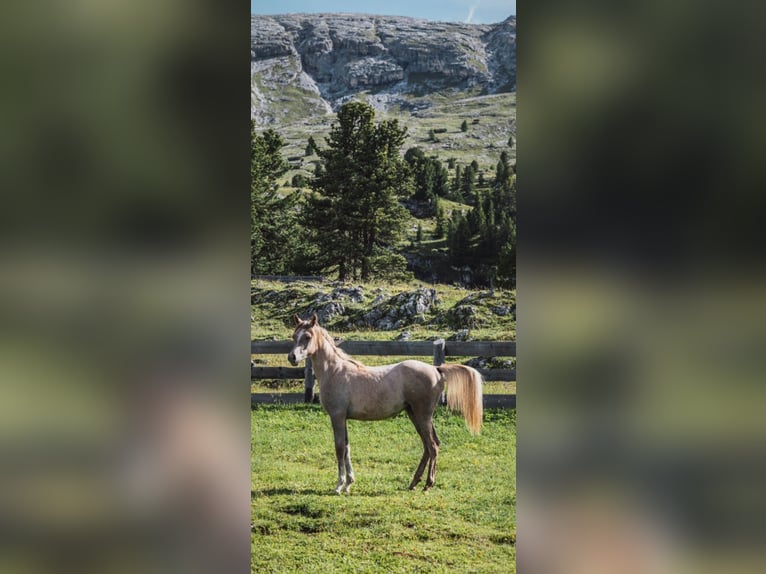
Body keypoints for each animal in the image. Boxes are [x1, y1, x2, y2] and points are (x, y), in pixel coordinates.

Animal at [284, 316, 484, 496]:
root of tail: (436, 369)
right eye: (294, 336)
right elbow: (347, 448)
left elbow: (340, 448)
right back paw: (414, 483)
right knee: (428, 446)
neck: (335, 371)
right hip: (415, 415)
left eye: (307, 336)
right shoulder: (343, 419)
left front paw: (339, 486)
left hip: (422, 416)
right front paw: (349, 483)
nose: (292, 357)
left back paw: (428, 484)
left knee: (433, 445)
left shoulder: (337, 417)